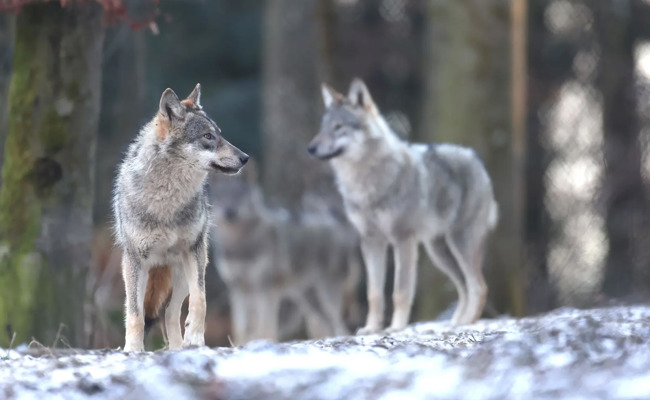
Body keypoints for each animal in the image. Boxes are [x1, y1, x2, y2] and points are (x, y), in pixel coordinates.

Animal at [112, 84, 249, 352]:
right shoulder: (134, 261)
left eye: (219, 134)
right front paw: (132, 349)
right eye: (208, 136)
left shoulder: (193, 251)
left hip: (185, 272)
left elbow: (200, 301)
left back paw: (179, 347)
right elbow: (135, 314)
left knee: (171, 314)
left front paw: (195, 338)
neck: (168, 200)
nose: (245, 157)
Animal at [209, 161, 360, 345]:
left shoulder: (265, 288)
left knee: (339, 324)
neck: (239, 243)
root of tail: (338, 224)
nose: (230, 212)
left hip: (325, 296)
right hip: (309, 300)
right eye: (222, 195)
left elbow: (264, 327)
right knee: (329, 326)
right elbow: (241, 328)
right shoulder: (237, 288)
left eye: (239, 195)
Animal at [308, 79, 498, 334]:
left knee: (478, 285)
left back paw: (466, 323)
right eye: (323, 127)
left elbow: (400, 291)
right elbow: (374, 293)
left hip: (459, 244)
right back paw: (456, 323)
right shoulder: (371, 242)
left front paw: (396, 327)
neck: (366, 180)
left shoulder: (403, 240)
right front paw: (371, 328)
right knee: (465, 286)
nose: (310, 148)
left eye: (339, 127)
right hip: (439, 252)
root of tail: (474, 156)